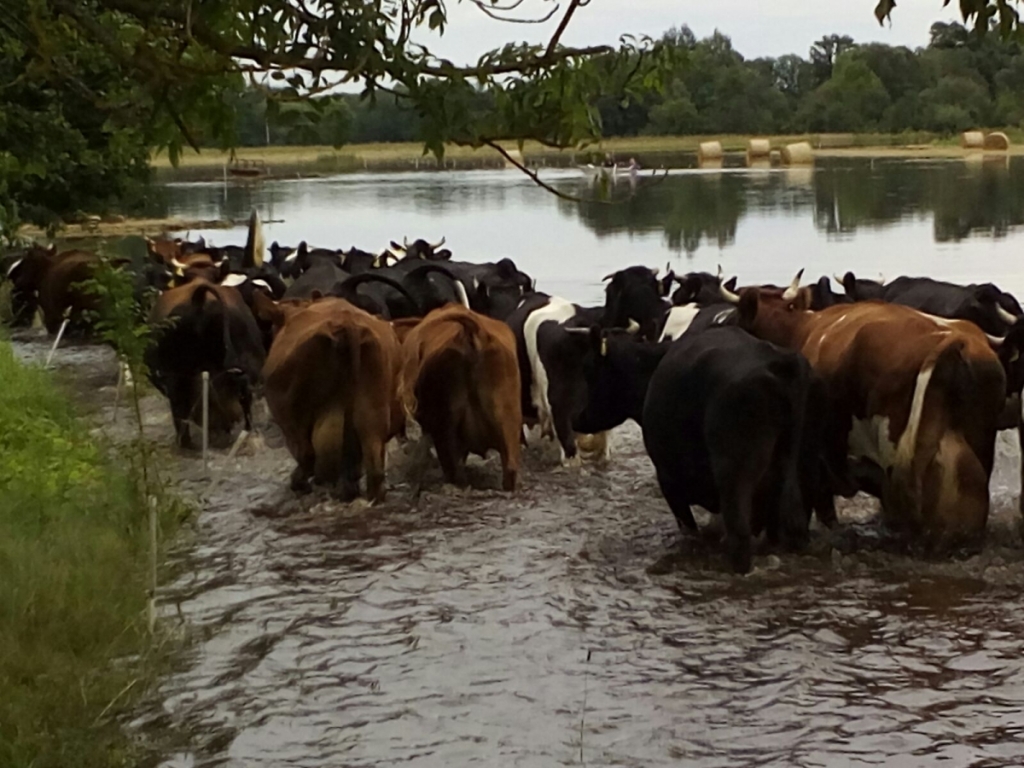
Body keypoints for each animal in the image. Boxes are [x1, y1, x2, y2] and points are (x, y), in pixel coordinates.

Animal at [253, 296, 401, 505]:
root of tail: (347, 323)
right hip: (373, 411)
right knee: (373, 466)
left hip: (293, 414)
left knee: (307, 454)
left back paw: (300, 484)